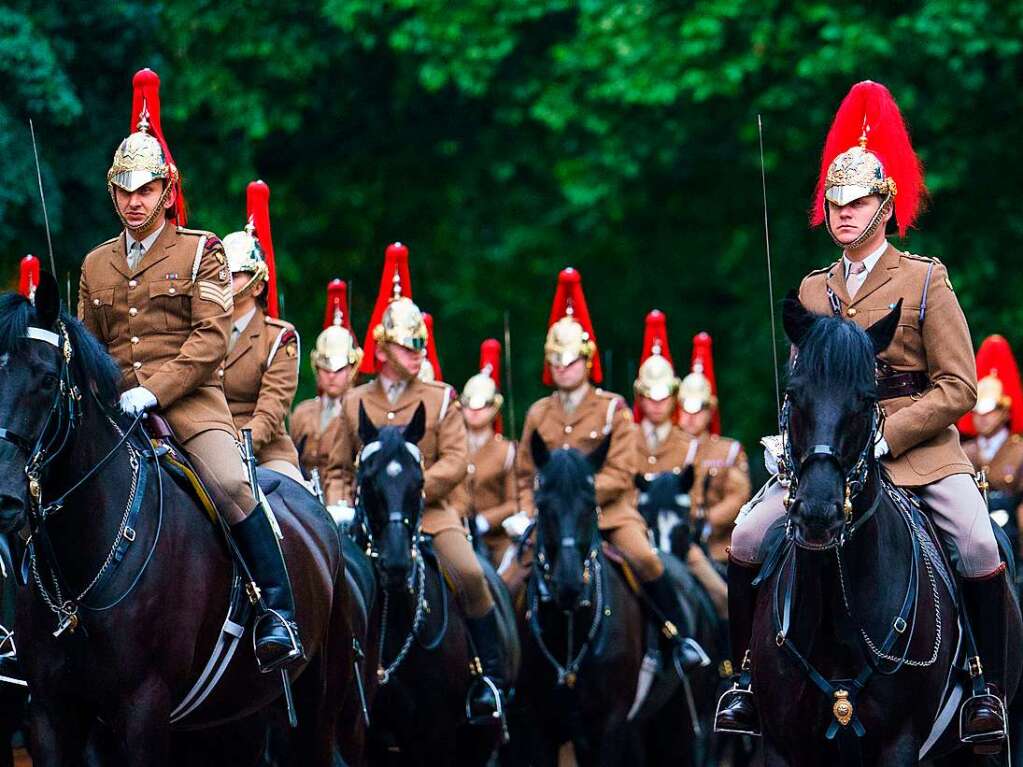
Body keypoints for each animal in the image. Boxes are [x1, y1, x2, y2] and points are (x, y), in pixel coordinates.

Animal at [0, 278, 351, 767]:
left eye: (48, 379)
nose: (3, 493)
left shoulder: (142, 708)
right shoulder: (51, 713)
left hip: (317, 706)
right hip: (234, 717)